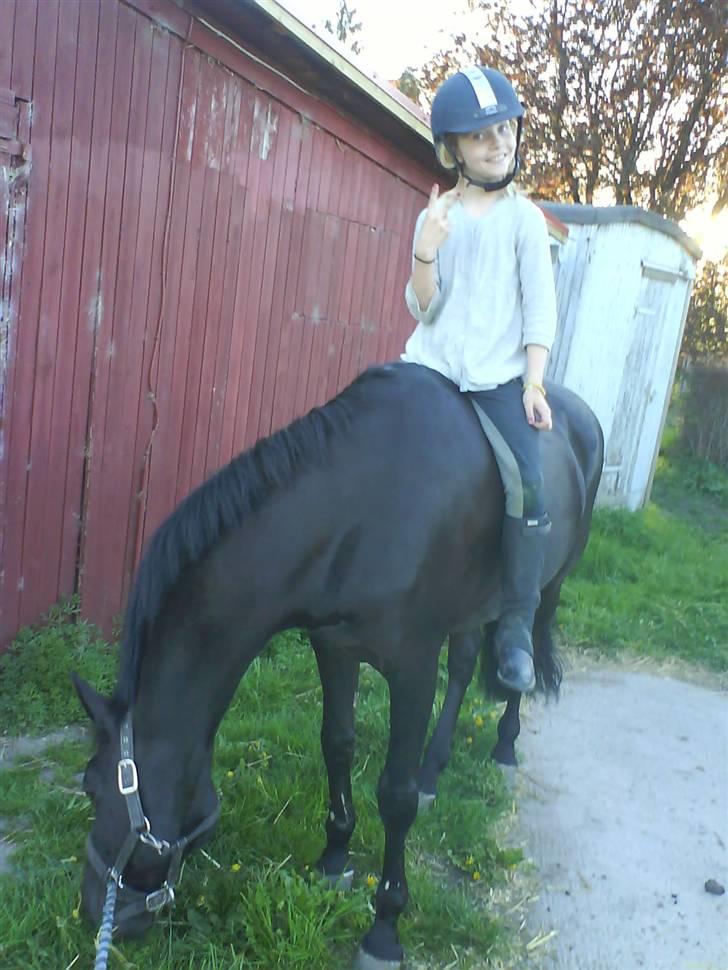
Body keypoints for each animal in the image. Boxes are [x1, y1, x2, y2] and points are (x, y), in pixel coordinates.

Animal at [72, 361, 603, 970]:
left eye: (93, 788)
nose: (96, 909)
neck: (355, 513)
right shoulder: (333, 647)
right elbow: (337, 744)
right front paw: (334, 856)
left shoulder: (412, 665)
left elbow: (394, 797)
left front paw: (385, 929)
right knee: (467, 664)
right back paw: (434, 769)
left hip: (552, 581)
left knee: (523, 651)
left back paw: (505, 743)